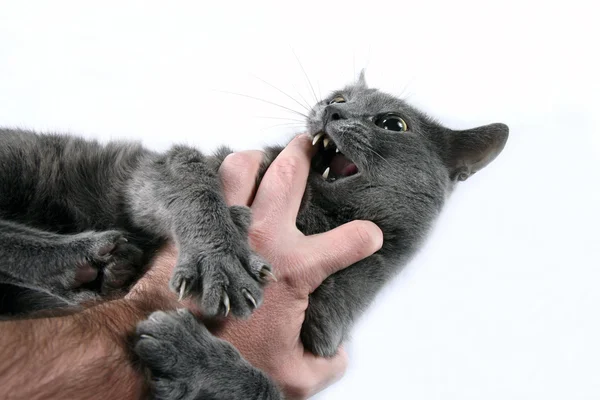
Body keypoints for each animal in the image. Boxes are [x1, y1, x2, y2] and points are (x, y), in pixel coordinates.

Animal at [0, 72, 506, 400]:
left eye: (391, 124)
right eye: (341, 95)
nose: (331, 108)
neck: (317, 219)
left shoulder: (320, 343)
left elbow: (269, 389)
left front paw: (191, 355)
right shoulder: (161, 173)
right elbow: (191, 179)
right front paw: (221, 260)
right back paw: (82, 257)